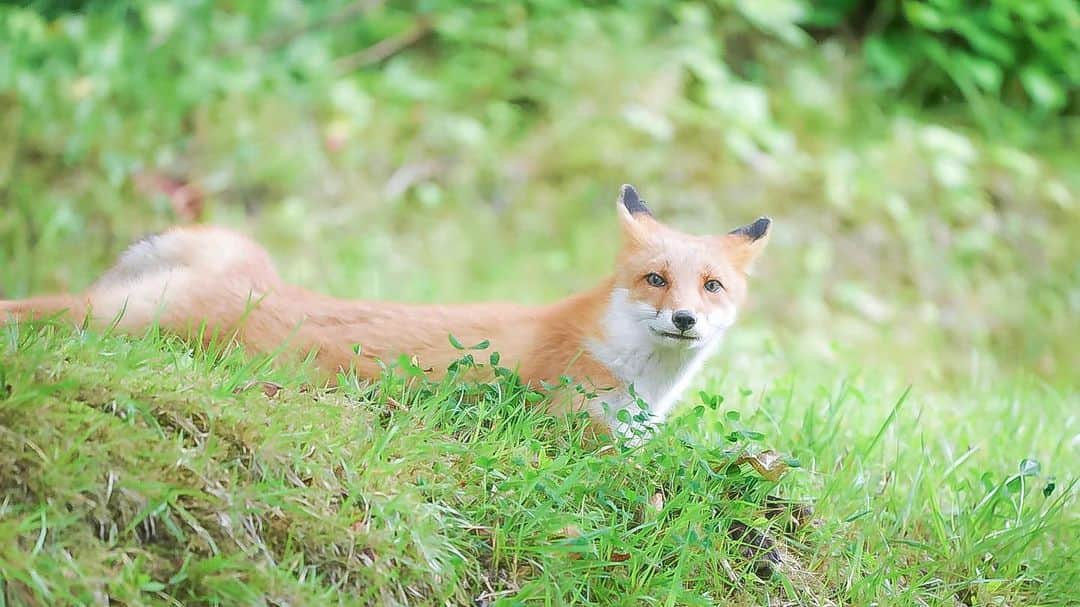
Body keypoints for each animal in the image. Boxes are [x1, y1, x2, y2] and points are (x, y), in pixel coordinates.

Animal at [0, 185, 771, 440]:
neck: (645, 387)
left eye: (710, 287)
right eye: (655, 280)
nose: (684, 320)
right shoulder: (577, 431)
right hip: (121, 321)